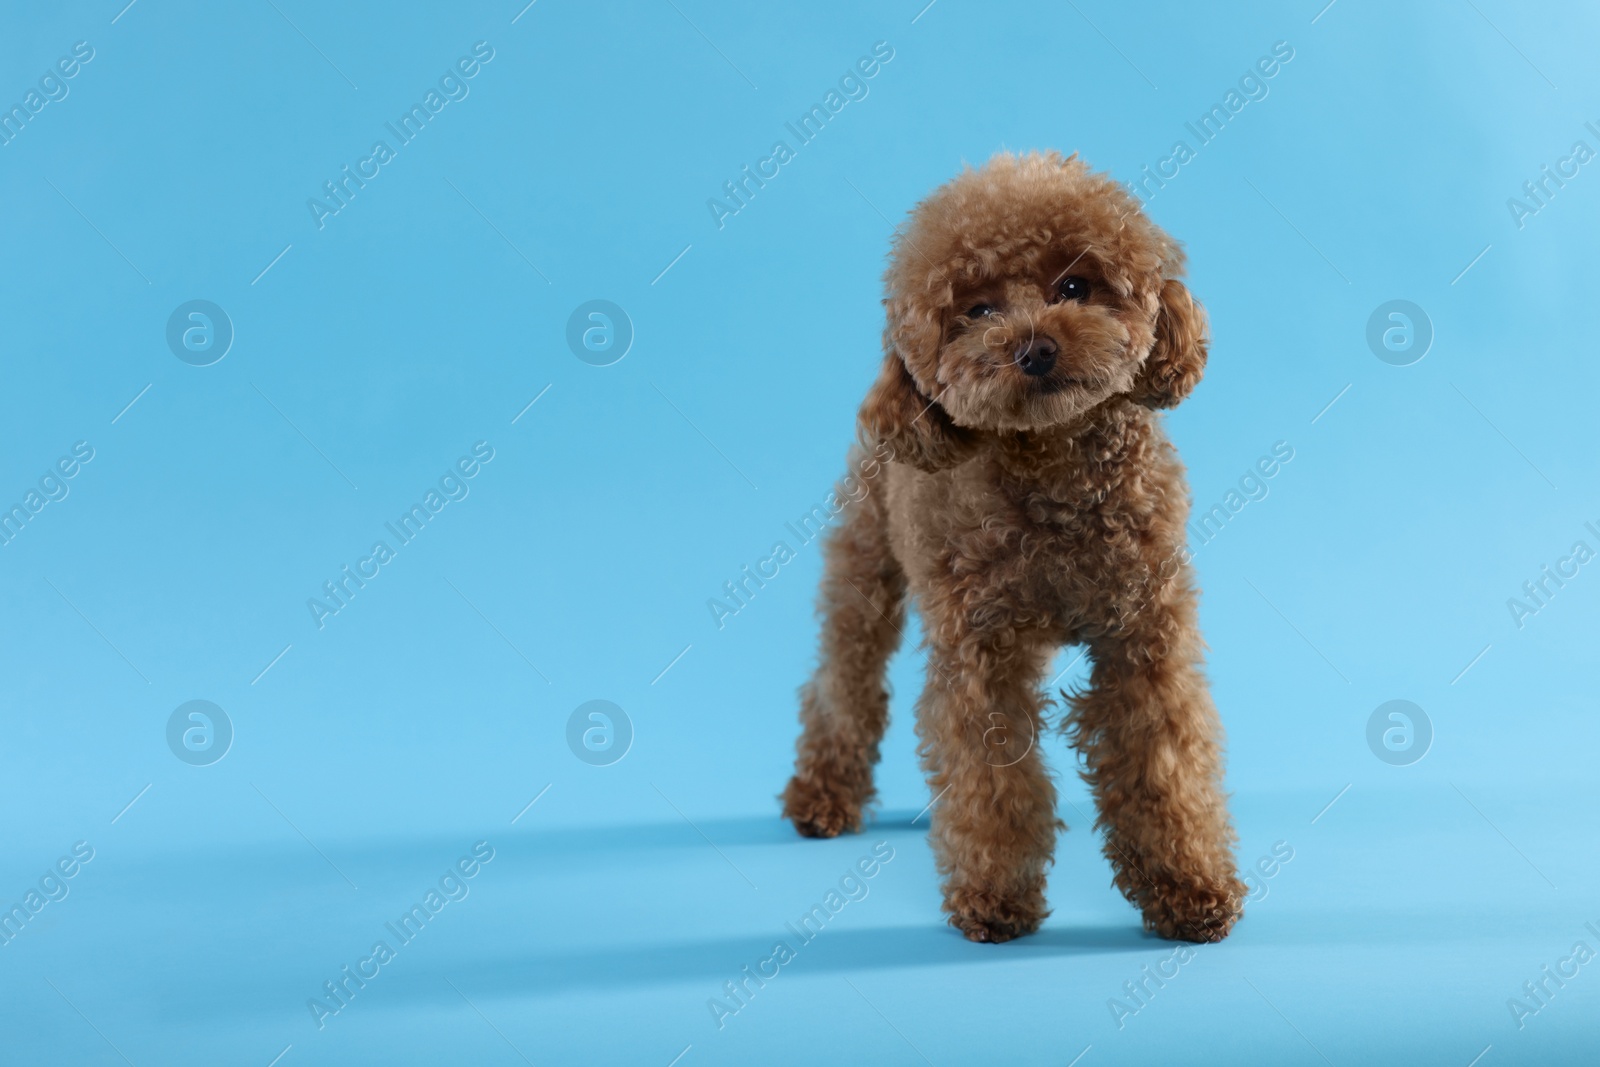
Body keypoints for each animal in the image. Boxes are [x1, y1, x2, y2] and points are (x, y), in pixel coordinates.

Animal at [780, 147, 1241, 940]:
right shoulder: (979, 650)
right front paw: (994, 896)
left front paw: (1189, 887)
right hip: (864, 568)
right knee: (842, 680)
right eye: (977, 311)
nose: (1034, 347)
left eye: (1075, 286)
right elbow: (990, 777)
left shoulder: (1143, 636)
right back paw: (822, 794)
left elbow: (1164, 762)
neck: (1054, 476)